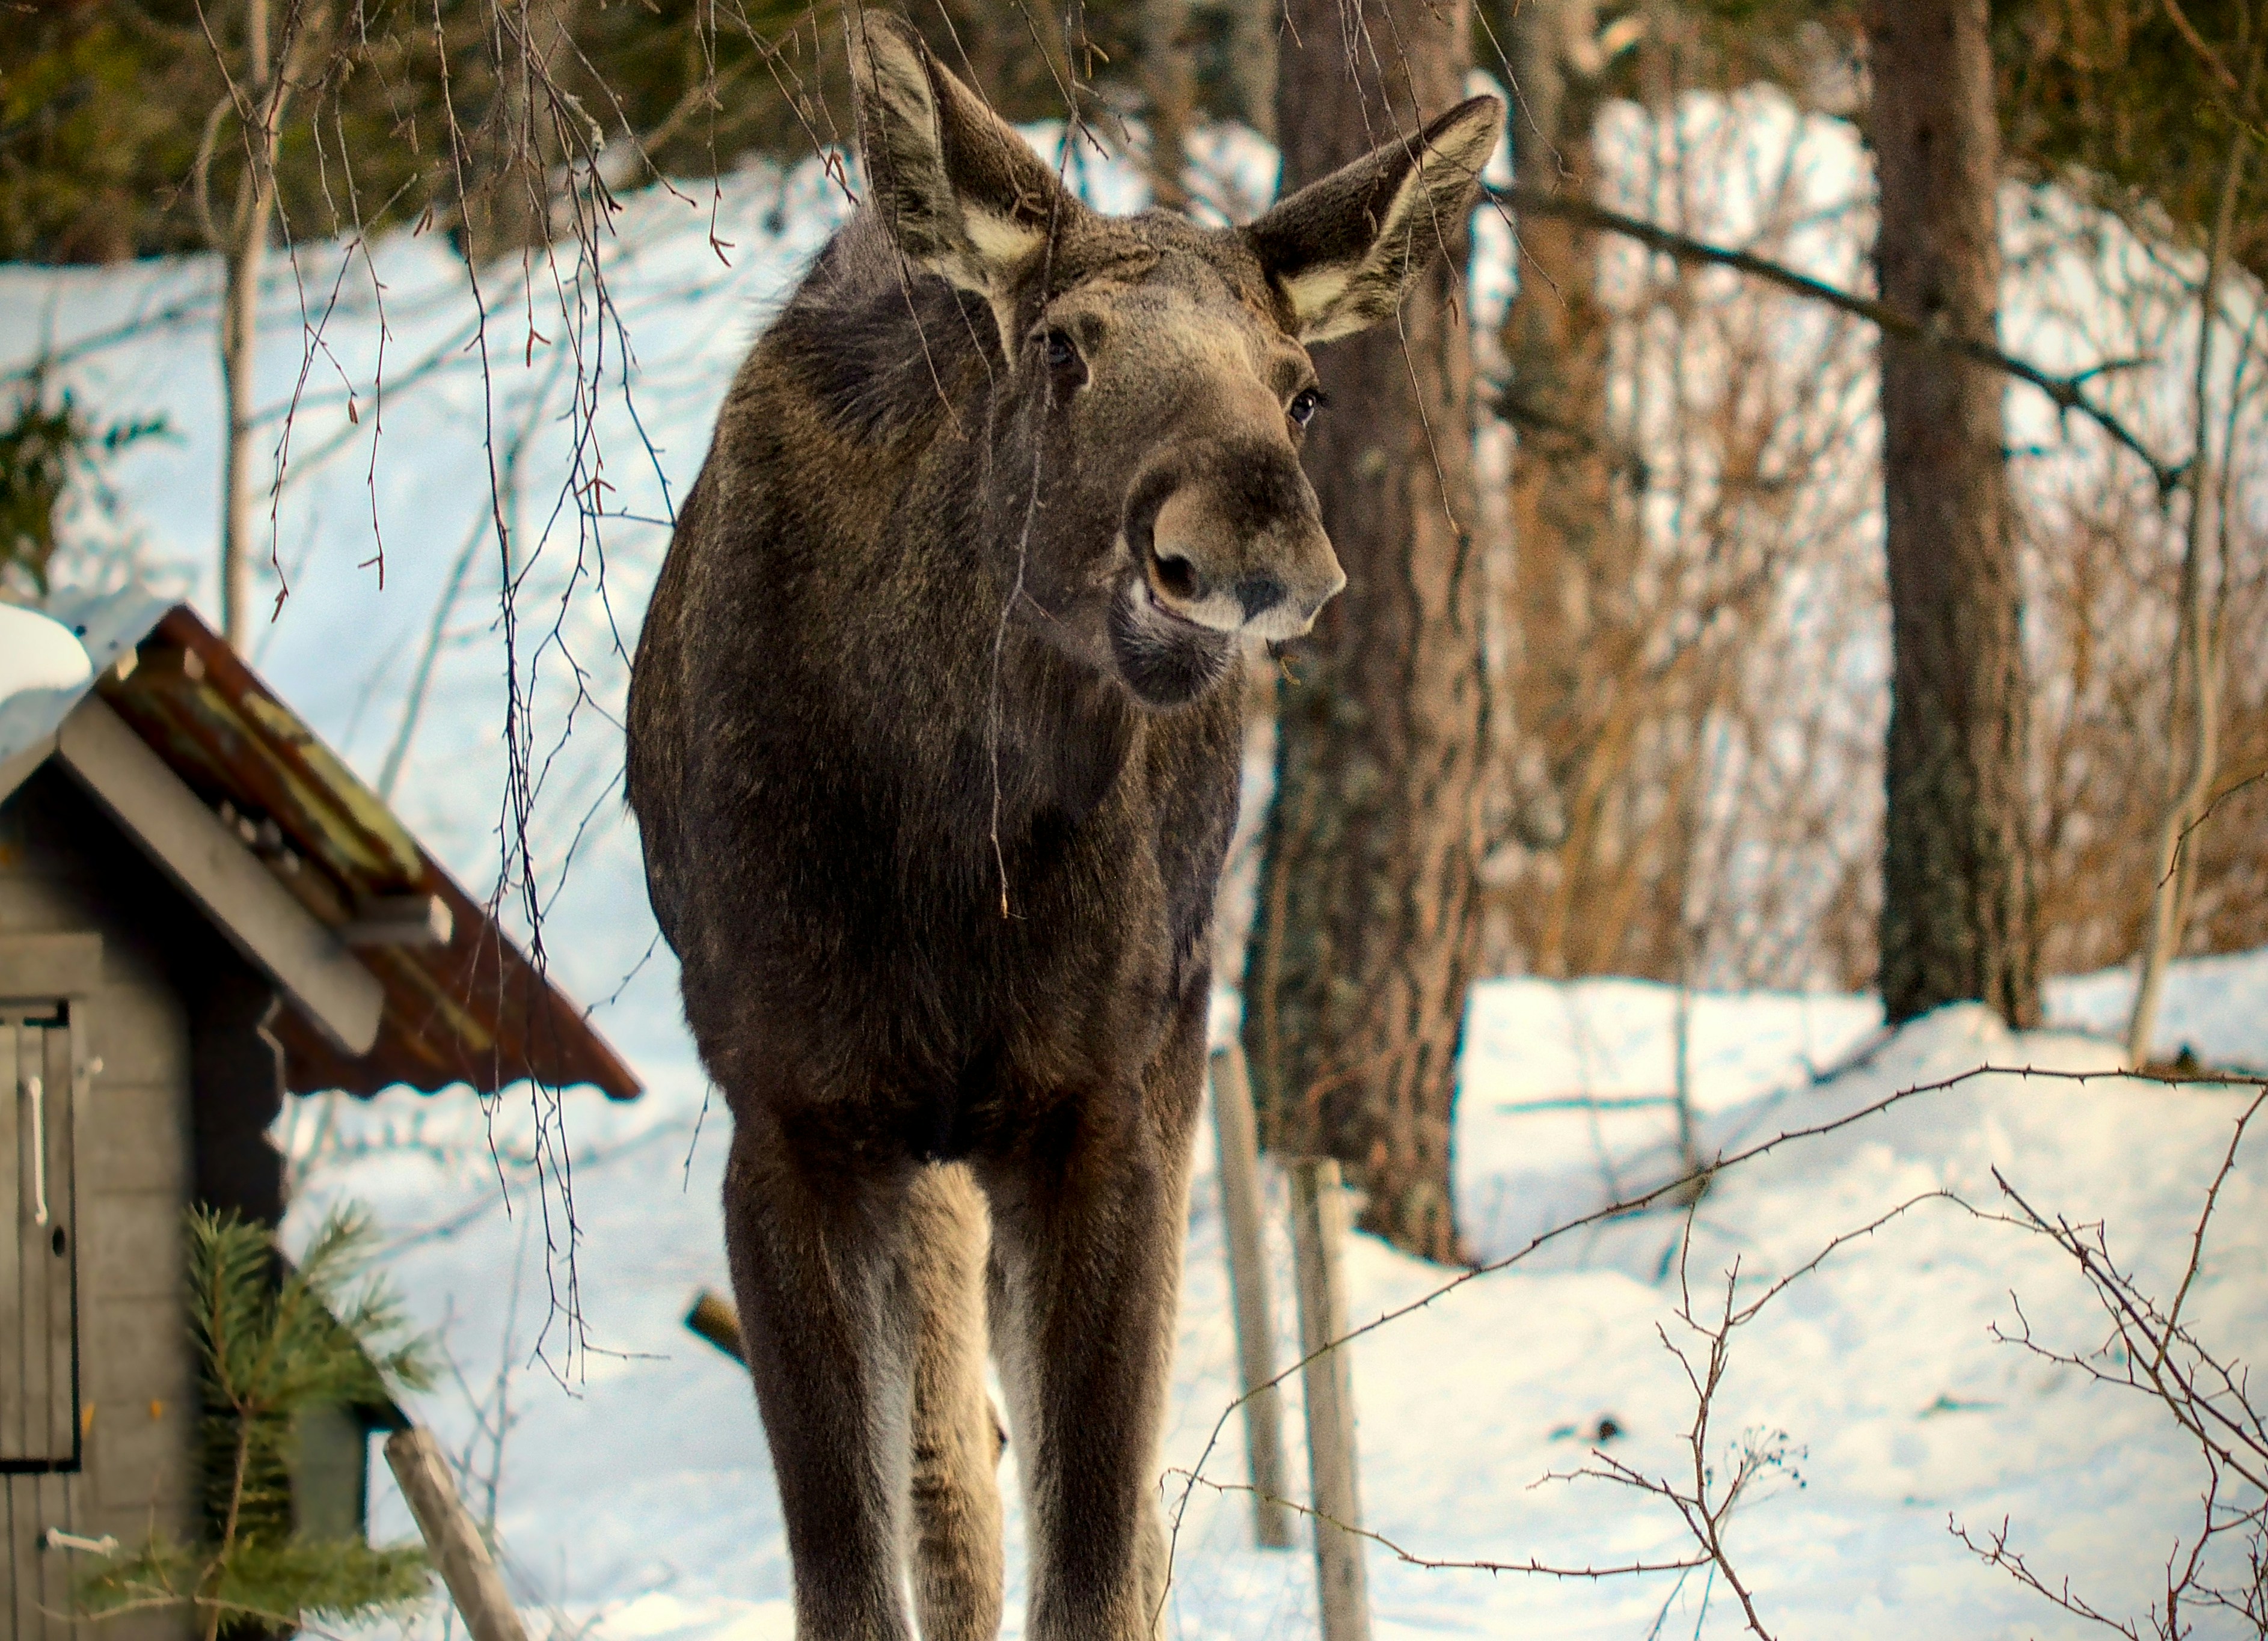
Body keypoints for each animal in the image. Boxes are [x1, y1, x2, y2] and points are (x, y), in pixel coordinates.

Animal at [624, 15, 1498, 1637]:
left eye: (1299, 387)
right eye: (1058, 345)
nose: (1243, 549)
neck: (950, 848)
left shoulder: (1107, 1104)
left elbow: (1093, 1562)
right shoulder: (789, 1116)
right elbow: (855, 1574)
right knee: (952, 1484)